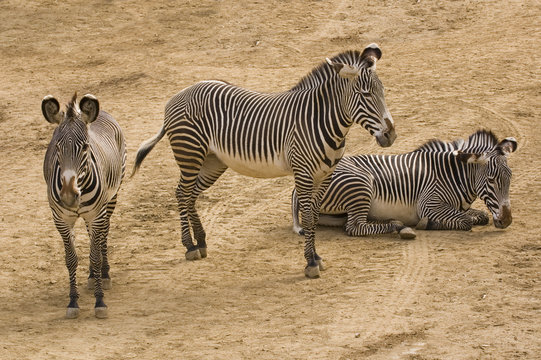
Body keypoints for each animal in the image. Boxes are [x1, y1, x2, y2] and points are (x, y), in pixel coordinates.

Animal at [42, 93, 125, 318]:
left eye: (86, 147)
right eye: (57, 147)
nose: (69, 195)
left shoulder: (96, 214)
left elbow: (95, 256)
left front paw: (99, 301)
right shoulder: (61, 219)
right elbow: (71, 259)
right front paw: (73, 302)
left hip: (110, 200)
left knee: (102, 236)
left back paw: (103, 274)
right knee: (92, 239)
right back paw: (91, 275)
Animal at [132, 43, 396, 278]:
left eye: (383, 91)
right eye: (365, 94)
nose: (391, 135)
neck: (319, 120)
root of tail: (180, 93)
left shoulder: (324, 176)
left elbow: (314, 216)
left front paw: (317, 257)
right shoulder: (303, 173)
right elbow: (308, 216)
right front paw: (310, 263)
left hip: (212, 162)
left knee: (191, 194)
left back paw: (201, 241)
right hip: (189, 153)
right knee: (181, 193)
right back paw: (189, 245)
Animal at [292, 129, 516, 239]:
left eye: (510, 178)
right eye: (491, 180)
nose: (507, 221)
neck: (452, 175)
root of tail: (297, 189)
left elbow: (482, 216)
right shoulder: (429, 204)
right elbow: (467, 221)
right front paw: (428, 224)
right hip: (361, 184)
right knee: (354, 227)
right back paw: (398, 227)